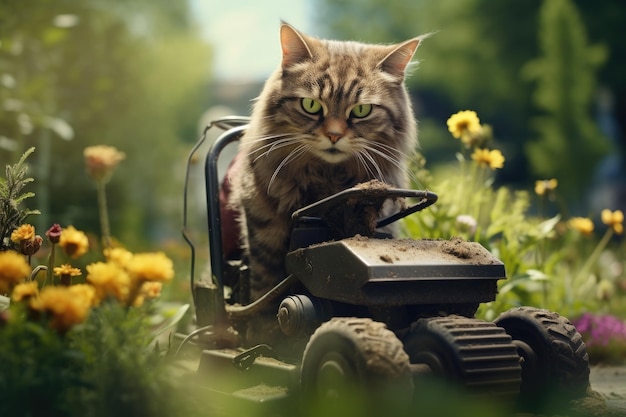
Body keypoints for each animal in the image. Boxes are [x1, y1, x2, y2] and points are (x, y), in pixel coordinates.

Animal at [227, 23, 422, 308]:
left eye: (361, 110)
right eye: (311, 105)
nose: (333, 135)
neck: (327, 177)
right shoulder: (263, 237)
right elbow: (263, 296)